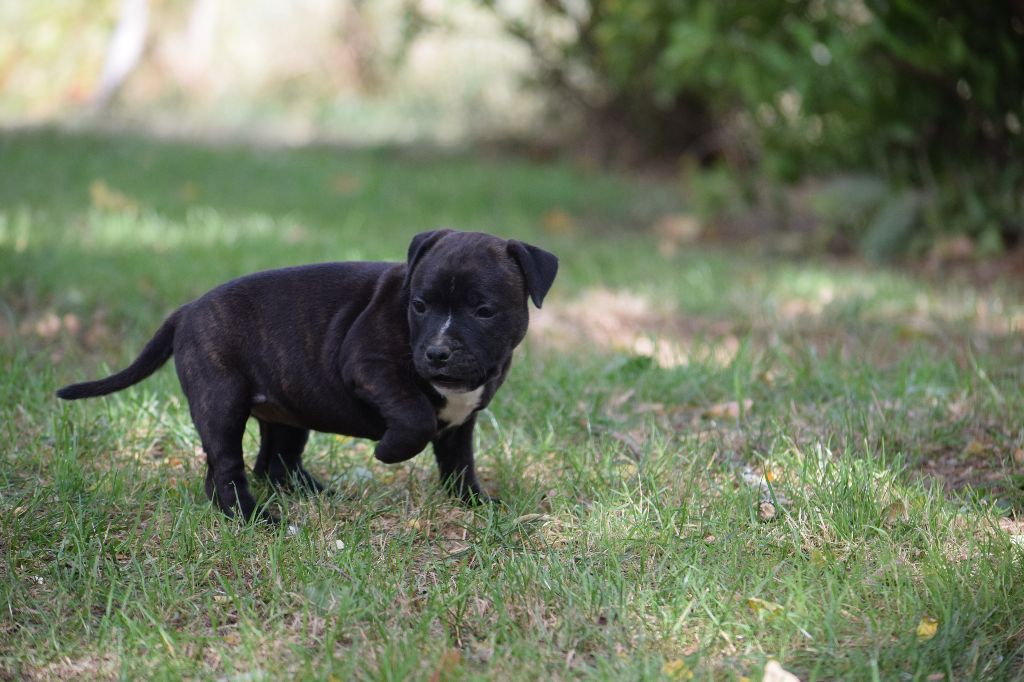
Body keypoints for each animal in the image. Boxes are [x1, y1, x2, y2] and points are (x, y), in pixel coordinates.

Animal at [57, 229, 558, 523]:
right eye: (418, 305)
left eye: (484, 311)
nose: (436, 352)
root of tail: (187, 310)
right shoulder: (370, 365)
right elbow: (415, 415)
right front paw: (389, 452)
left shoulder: (461, 422)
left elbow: (459, 464)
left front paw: (474, 503)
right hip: (221, 401)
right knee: (225, 465)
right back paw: (250, 516)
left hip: (287, 410)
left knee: (275, 461)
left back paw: (316, 495)